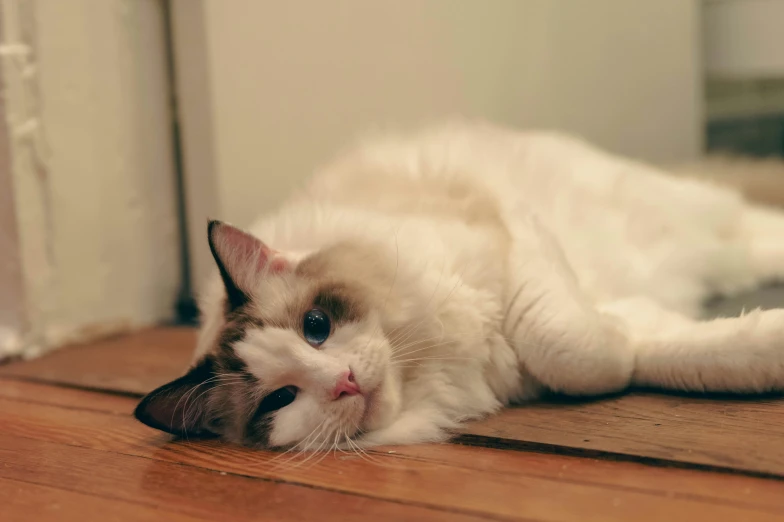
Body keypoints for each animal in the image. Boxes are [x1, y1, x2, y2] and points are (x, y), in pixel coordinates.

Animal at [132, 121, 784, 446]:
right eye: (279, 400)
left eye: (316, 326)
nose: (344, 382)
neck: (431, 366)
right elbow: (663, 352)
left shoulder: (507, 234)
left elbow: (571, 350)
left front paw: (611, 341)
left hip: (692, 222)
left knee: (754, 223)